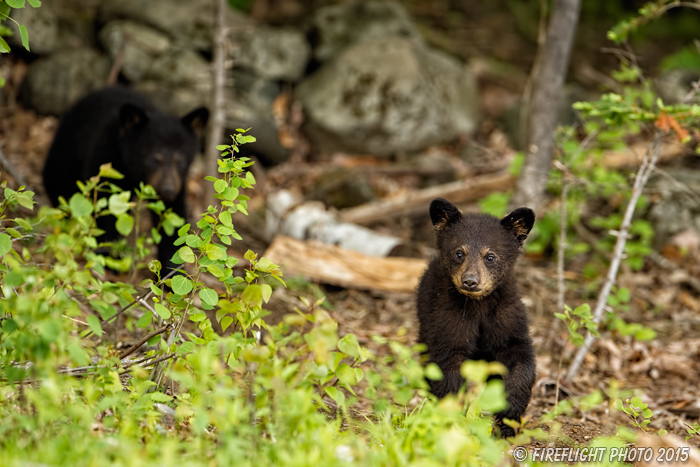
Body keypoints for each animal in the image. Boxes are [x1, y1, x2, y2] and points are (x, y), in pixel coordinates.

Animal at [42, 87, 208, 274]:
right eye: (152, 160)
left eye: (180, 161)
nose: (167, 189)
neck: (134, 173)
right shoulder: (107, 160)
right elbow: (106, 210)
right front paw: (109, 257)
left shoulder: (179, 185)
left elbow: (172, 220)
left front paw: (173, 269)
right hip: (66, 152)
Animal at [416, 198, 536, 438]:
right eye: (459, 253)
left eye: (490, 256)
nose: (470, 281)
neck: (478, 306)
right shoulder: (446, 319)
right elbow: (447, 365)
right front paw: (453, 419)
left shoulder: (506, 316)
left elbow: (520, 357)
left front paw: (510, 414)